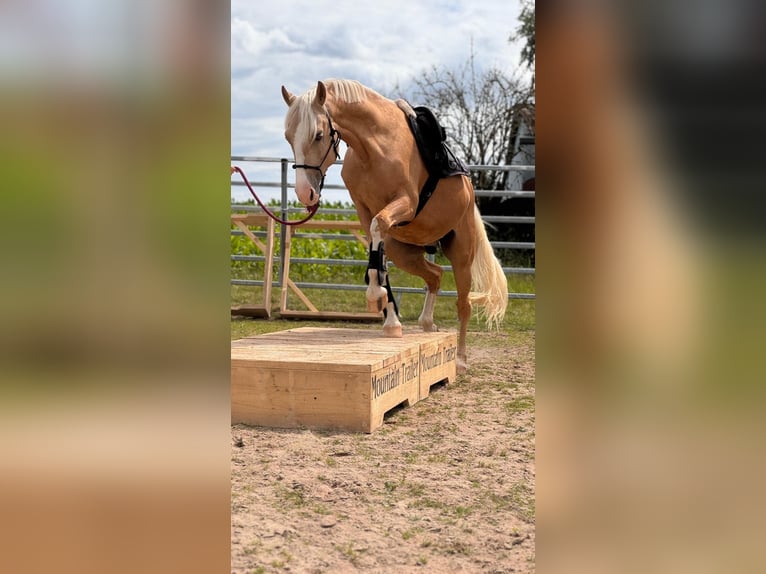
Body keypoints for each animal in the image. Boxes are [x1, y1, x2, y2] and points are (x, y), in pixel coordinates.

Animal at [284, 79, 510, 374]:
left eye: (318, 135)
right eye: (288, 136)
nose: (304, 193)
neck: (374, 147)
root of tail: (470, 196)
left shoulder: (405, 204)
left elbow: (379, 232)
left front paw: (374, 294)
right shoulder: (365, 212)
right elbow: (377, 252)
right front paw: (391, 320)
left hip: (462, 256)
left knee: (464, 305)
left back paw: (460, 359)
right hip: (406, 252)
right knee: (435, 275)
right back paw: (427, 324)